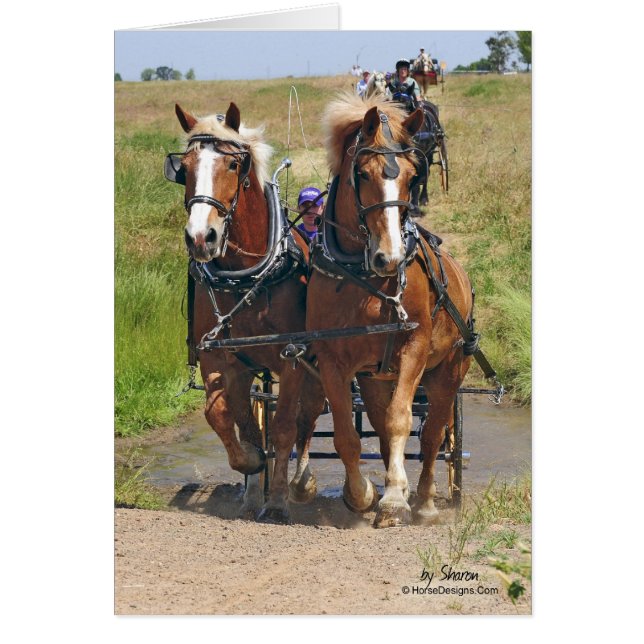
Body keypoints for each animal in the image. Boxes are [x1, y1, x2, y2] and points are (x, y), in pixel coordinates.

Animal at [165, 102, 326, 524]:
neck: (246, 275)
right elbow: (225, 416)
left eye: (233, 165)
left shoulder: (292, 357)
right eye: (184, 167)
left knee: (310, 415)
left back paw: (302, 482)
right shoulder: (221, 357)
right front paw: (252, 467)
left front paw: (279, 499)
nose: (200, 238)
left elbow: (284, 427)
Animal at [306, 93, 473, 527]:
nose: (391, 257)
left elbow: (402, 421)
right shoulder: (332, 359)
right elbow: (347, 433)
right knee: (382, 432)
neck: (364, 277)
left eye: (413, 177)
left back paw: (425, 499)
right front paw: (361, 494)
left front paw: (396, 499)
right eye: (363, 174)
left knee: (433, 434)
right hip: (376, 378)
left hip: (447, 372)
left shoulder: (414, 348)